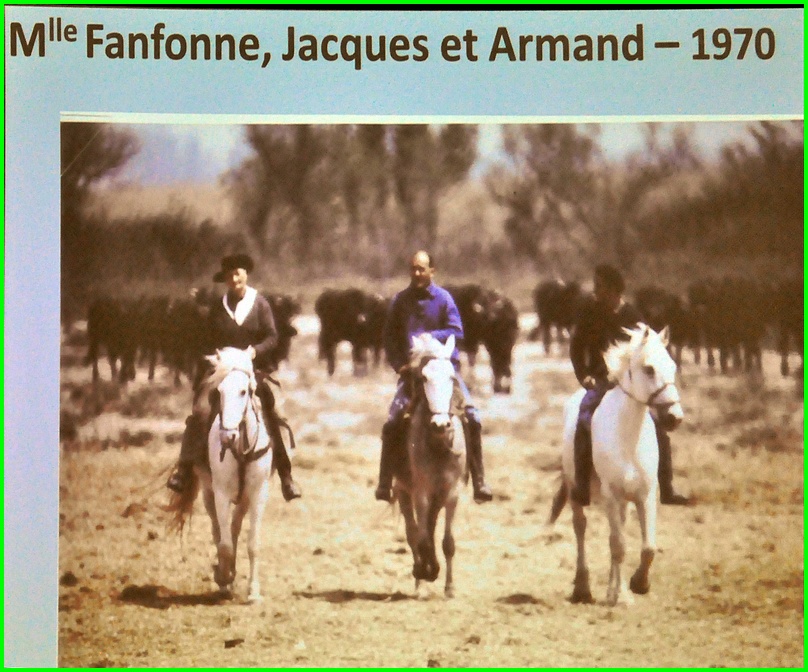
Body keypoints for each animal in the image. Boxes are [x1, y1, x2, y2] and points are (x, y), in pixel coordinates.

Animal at [168, 347, 273, 603]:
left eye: (244, 391)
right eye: (220, 391)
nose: (228, 437)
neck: (242, 450)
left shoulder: (258, 495)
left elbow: (252, 543)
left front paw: (253, 592)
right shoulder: (221, 494)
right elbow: (223, 544)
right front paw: (223, 578)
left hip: (243, 499)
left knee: (234, 529)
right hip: (208, 494)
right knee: (219, 531)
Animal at [393, 333, 468, 598]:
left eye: (452, 377)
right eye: (423, 377)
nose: (440, 424)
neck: (437, 446)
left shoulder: (452, 493)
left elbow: (448, 542)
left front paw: (450, 587)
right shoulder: (421, 493)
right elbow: (422, 538)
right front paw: (427, 571)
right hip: (403, 492)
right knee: (413, 533)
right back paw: (419, 580)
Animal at [548, 325, 684, 606]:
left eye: (673, 366)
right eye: (649, 369)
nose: (675, 417)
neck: (628, 437)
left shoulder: (645, 495)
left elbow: (647, 547)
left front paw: (637, 584)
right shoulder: (611, 495)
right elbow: (618, 545)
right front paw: (622, 595)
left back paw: (610, 588)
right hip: (577, 491)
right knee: (581, 528)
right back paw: (583, 588)